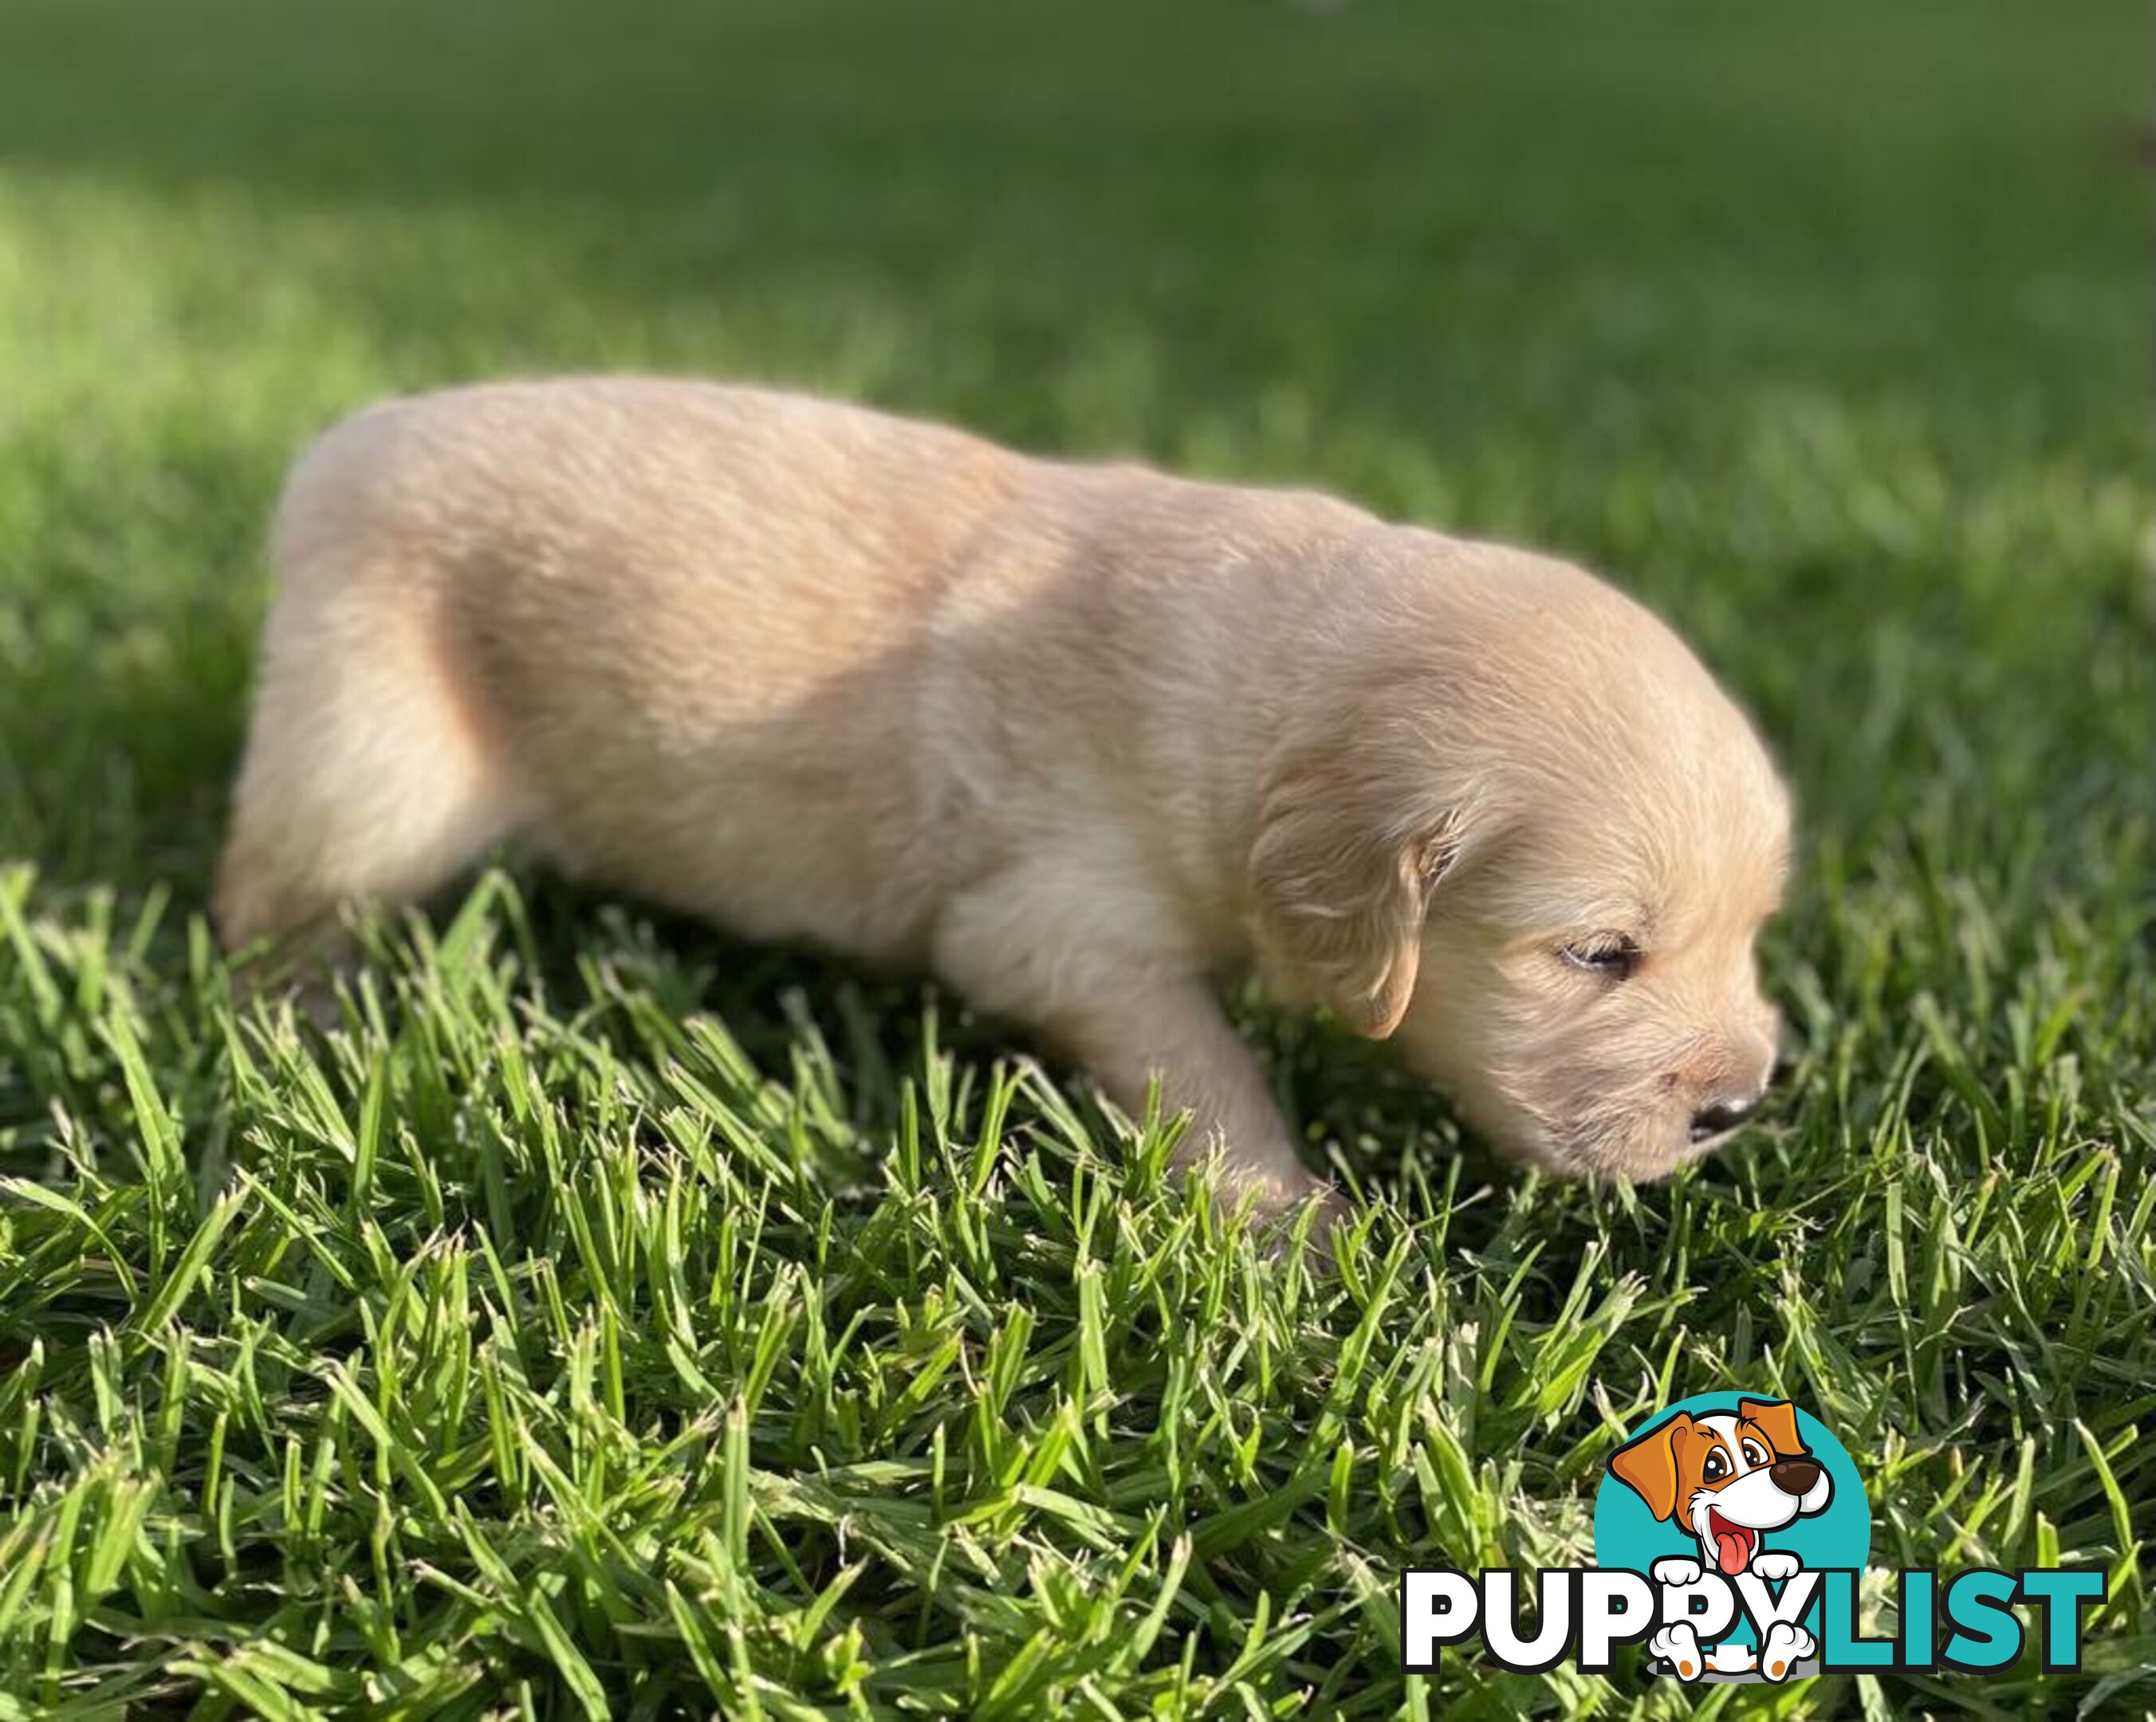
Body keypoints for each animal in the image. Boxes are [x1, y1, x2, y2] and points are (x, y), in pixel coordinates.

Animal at [218, 381, 1793, 1215]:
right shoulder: (1053, 925)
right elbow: (1200, 1065)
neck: (1262, 682)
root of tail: (343, 443)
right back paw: (308, 1023)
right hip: (371, 751)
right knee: (270, 896)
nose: (1738, 1105)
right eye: (1598, 955)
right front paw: (1287, 1221)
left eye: (1751, 936)